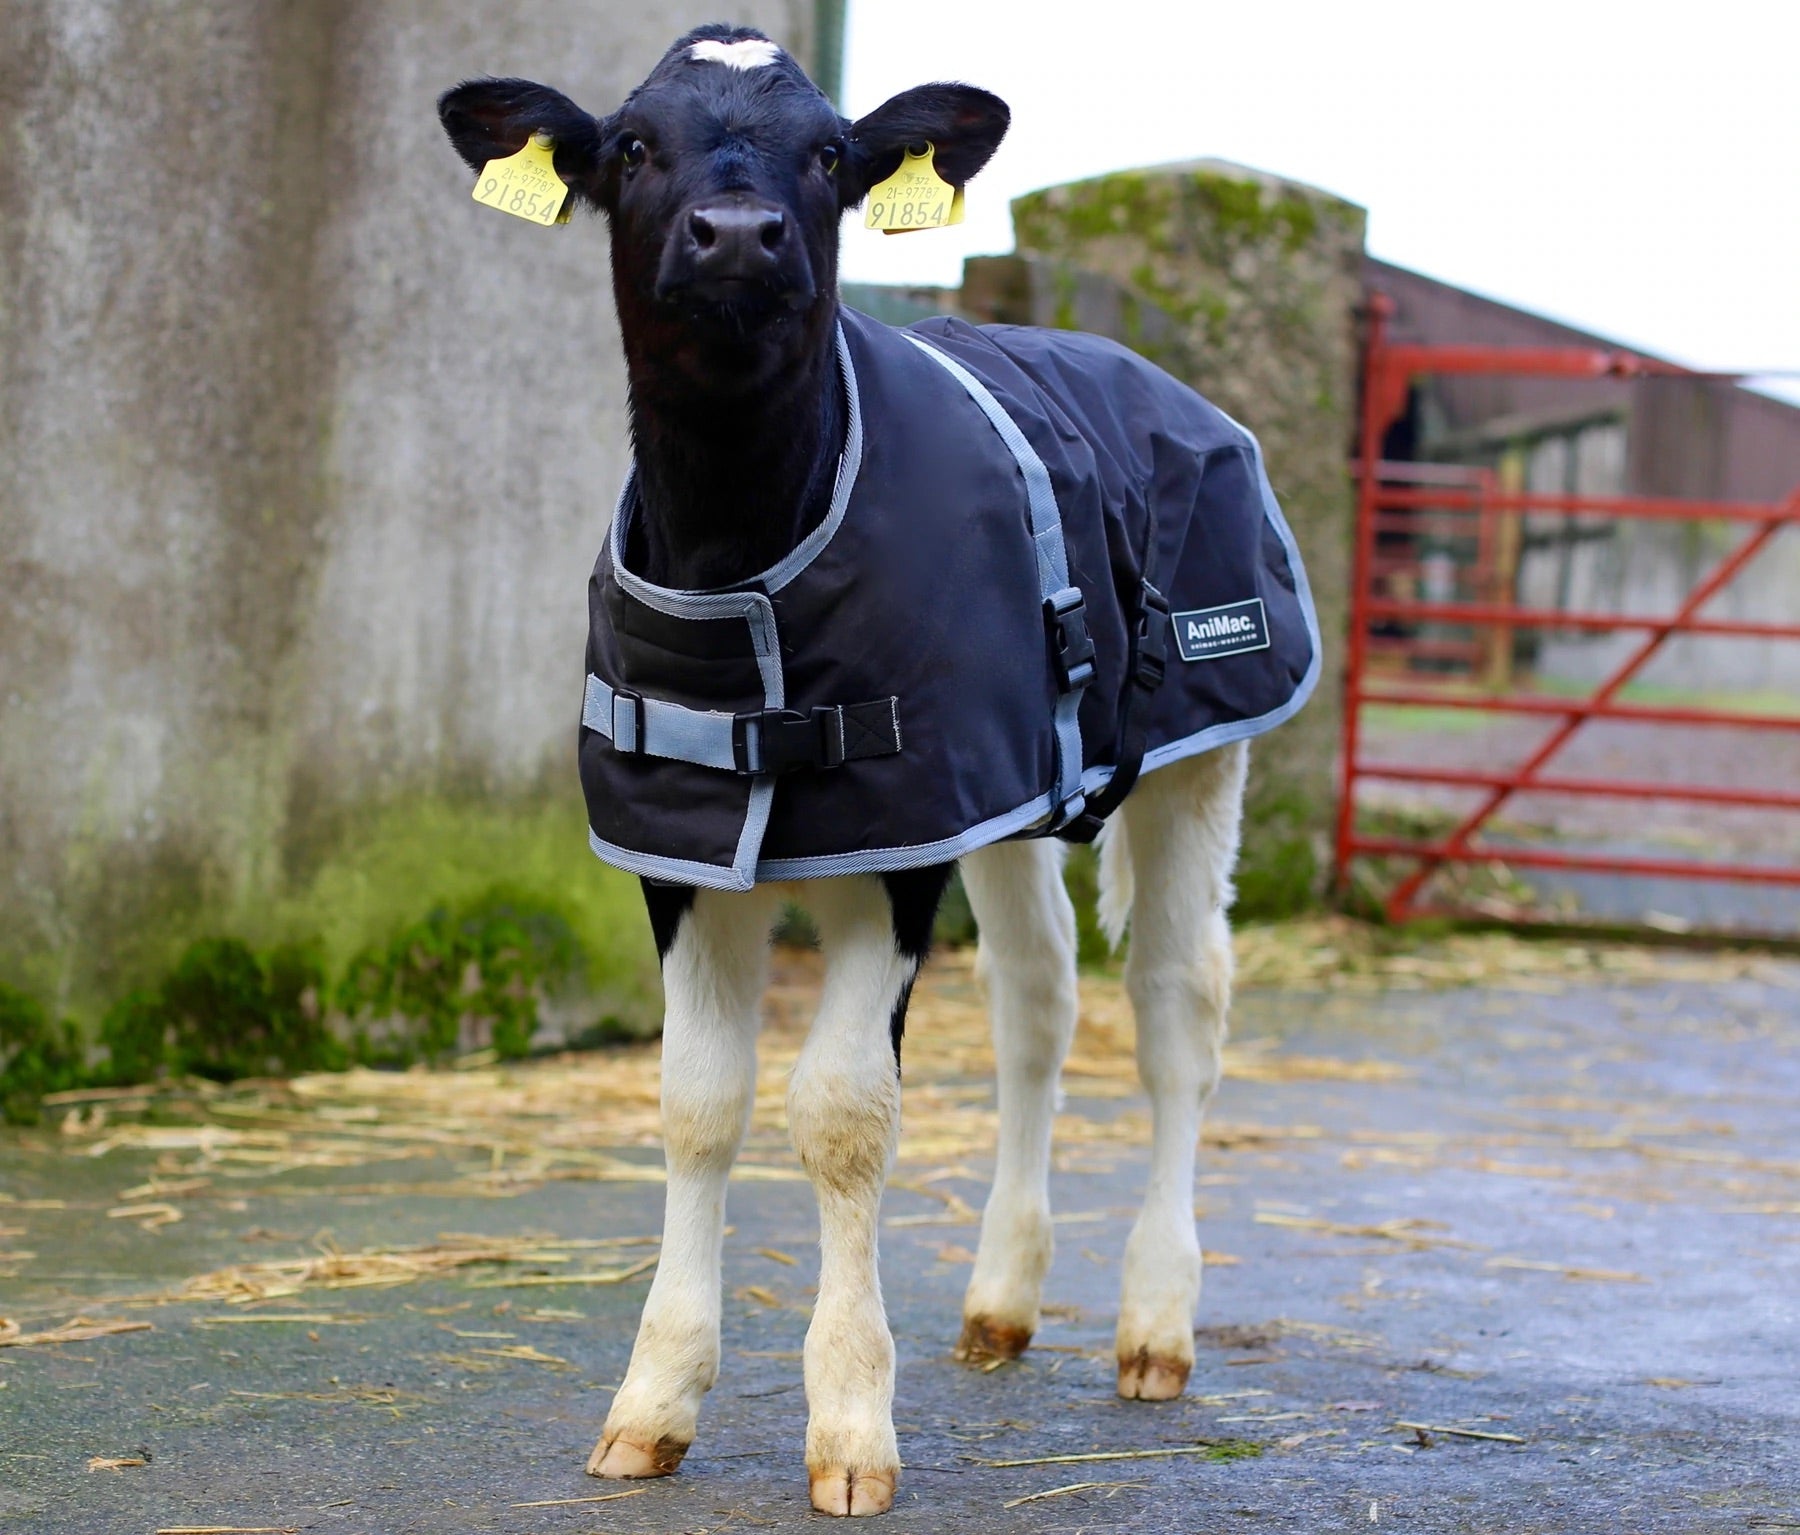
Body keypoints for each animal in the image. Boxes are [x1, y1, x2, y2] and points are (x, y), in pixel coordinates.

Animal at [439, 23, 1318, 1517]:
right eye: (634, 143)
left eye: (833, 154)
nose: (737, 234)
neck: (739, 545)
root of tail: (1137, 363)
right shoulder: (685, 845)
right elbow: (697, 1104)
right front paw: (652, 1401)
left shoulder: (895, 839)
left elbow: (843, 1112)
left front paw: (850, 1425)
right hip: (1009, 783)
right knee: (1039, 998)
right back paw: (1001, 1300)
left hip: (1205, 750)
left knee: (1175, 1009)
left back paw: (1155, 1322)